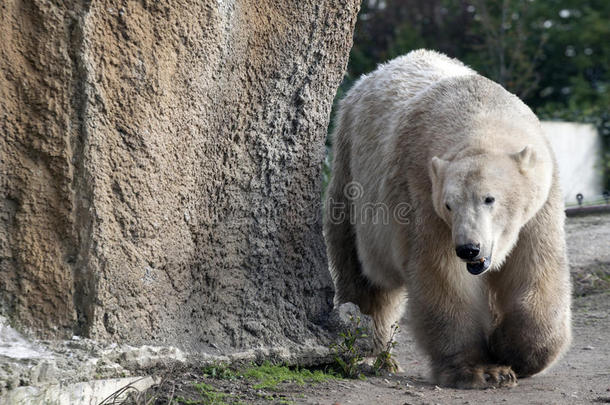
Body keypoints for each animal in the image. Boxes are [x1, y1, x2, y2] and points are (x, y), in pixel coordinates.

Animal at [324, 49, 568, 386]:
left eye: (489, 198)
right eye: (450, 204)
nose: (469, 249)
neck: (481, 116)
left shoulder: (540, 205)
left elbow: (536, 267)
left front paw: (508, 348)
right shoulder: (422, 195)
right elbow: (442, 274)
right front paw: (482, 370)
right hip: (350, 173)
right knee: (363, 276)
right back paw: (370, 355)